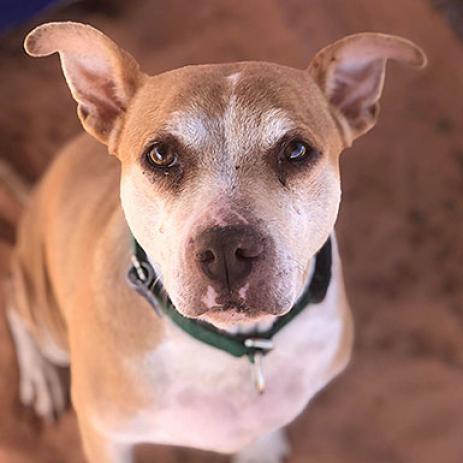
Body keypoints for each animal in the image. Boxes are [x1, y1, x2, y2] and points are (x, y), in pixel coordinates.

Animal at [3, 21, 426, 463]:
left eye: (296, 150)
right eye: (160, 154)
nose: (226, 250)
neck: (235, 347)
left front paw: (264, 444)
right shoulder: (105, 435)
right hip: (47, 320)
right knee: (12, 294)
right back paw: (39, 378)